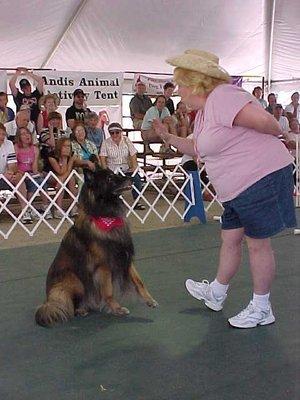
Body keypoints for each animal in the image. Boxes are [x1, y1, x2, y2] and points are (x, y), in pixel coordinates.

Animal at [35, 164, 158, 326]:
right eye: (109, 178)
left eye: (114, 174)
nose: (131, 178)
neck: (106, 216)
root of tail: (48, 300)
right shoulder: (103, 265)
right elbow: (108, 291)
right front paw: (117, 309)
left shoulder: (124, 256)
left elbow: (139, 282)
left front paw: (149, 300)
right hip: (73, 280)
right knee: (71, 303)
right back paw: (81, 309)